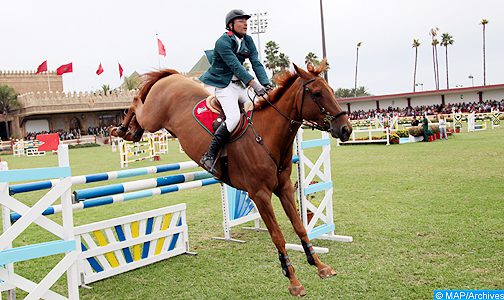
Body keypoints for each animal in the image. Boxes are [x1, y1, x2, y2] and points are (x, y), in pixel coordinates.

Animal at [109, 60, 354, 296]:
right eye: (317, 93)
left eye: (331, 90)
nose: (346, 130)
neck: (266, 137)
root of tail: (173, 77)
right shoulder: (260, 195)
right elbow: (278, 236)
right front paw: (293, 280)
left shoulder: (284, 188)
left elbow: (300, 227)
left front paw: (320, 265)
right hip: (152, 119)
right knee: (136, 102)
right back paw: (120, 129)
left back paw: (132, 132)